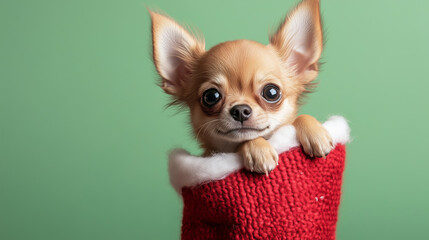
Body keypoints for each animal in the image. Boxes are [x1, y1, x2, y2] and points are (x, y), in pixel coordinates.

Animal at [149, 0, 332, 174]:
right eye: (211, 96)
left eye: (271, 92)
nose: (240, 110)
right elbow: (245, 141)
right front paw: (258, 150)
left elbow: (299, 118)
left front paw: (315, 132)